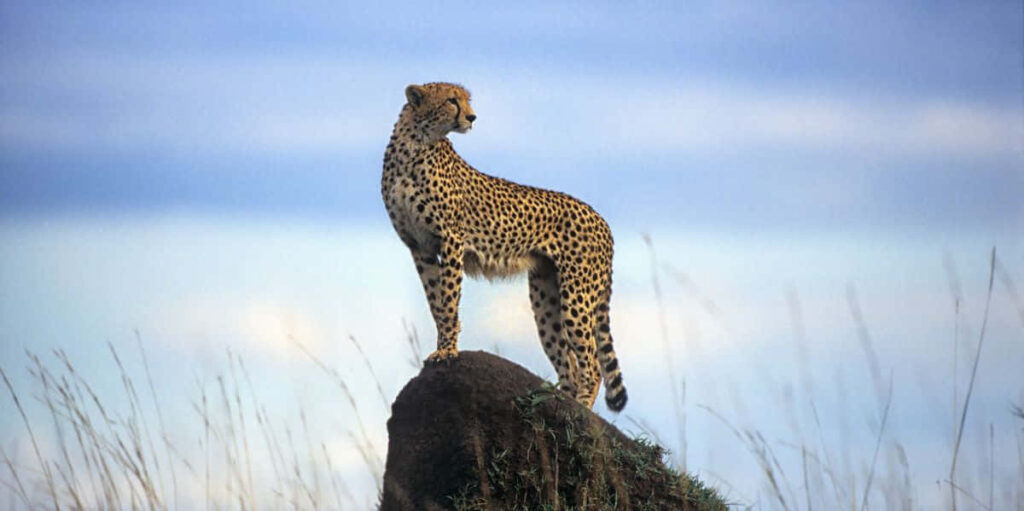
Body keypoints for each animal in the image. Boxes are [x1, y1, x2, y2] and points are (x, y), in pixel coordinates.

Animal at [381, 82, 627, 411]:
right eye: (451, 100)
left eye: (467, 100)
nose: (472, 117)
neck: (415, 144)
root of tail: (602, 220)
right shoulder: (419, 247)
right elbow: (436, 302)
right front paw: (443, 346)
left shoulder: (450, 240)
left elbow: (448, 301)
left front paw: (446, 351)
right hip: (545, 295)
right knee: (569, 362)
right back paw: (563, 404)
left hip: (577, 293)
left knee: (591, 363)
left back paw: (583, 410)